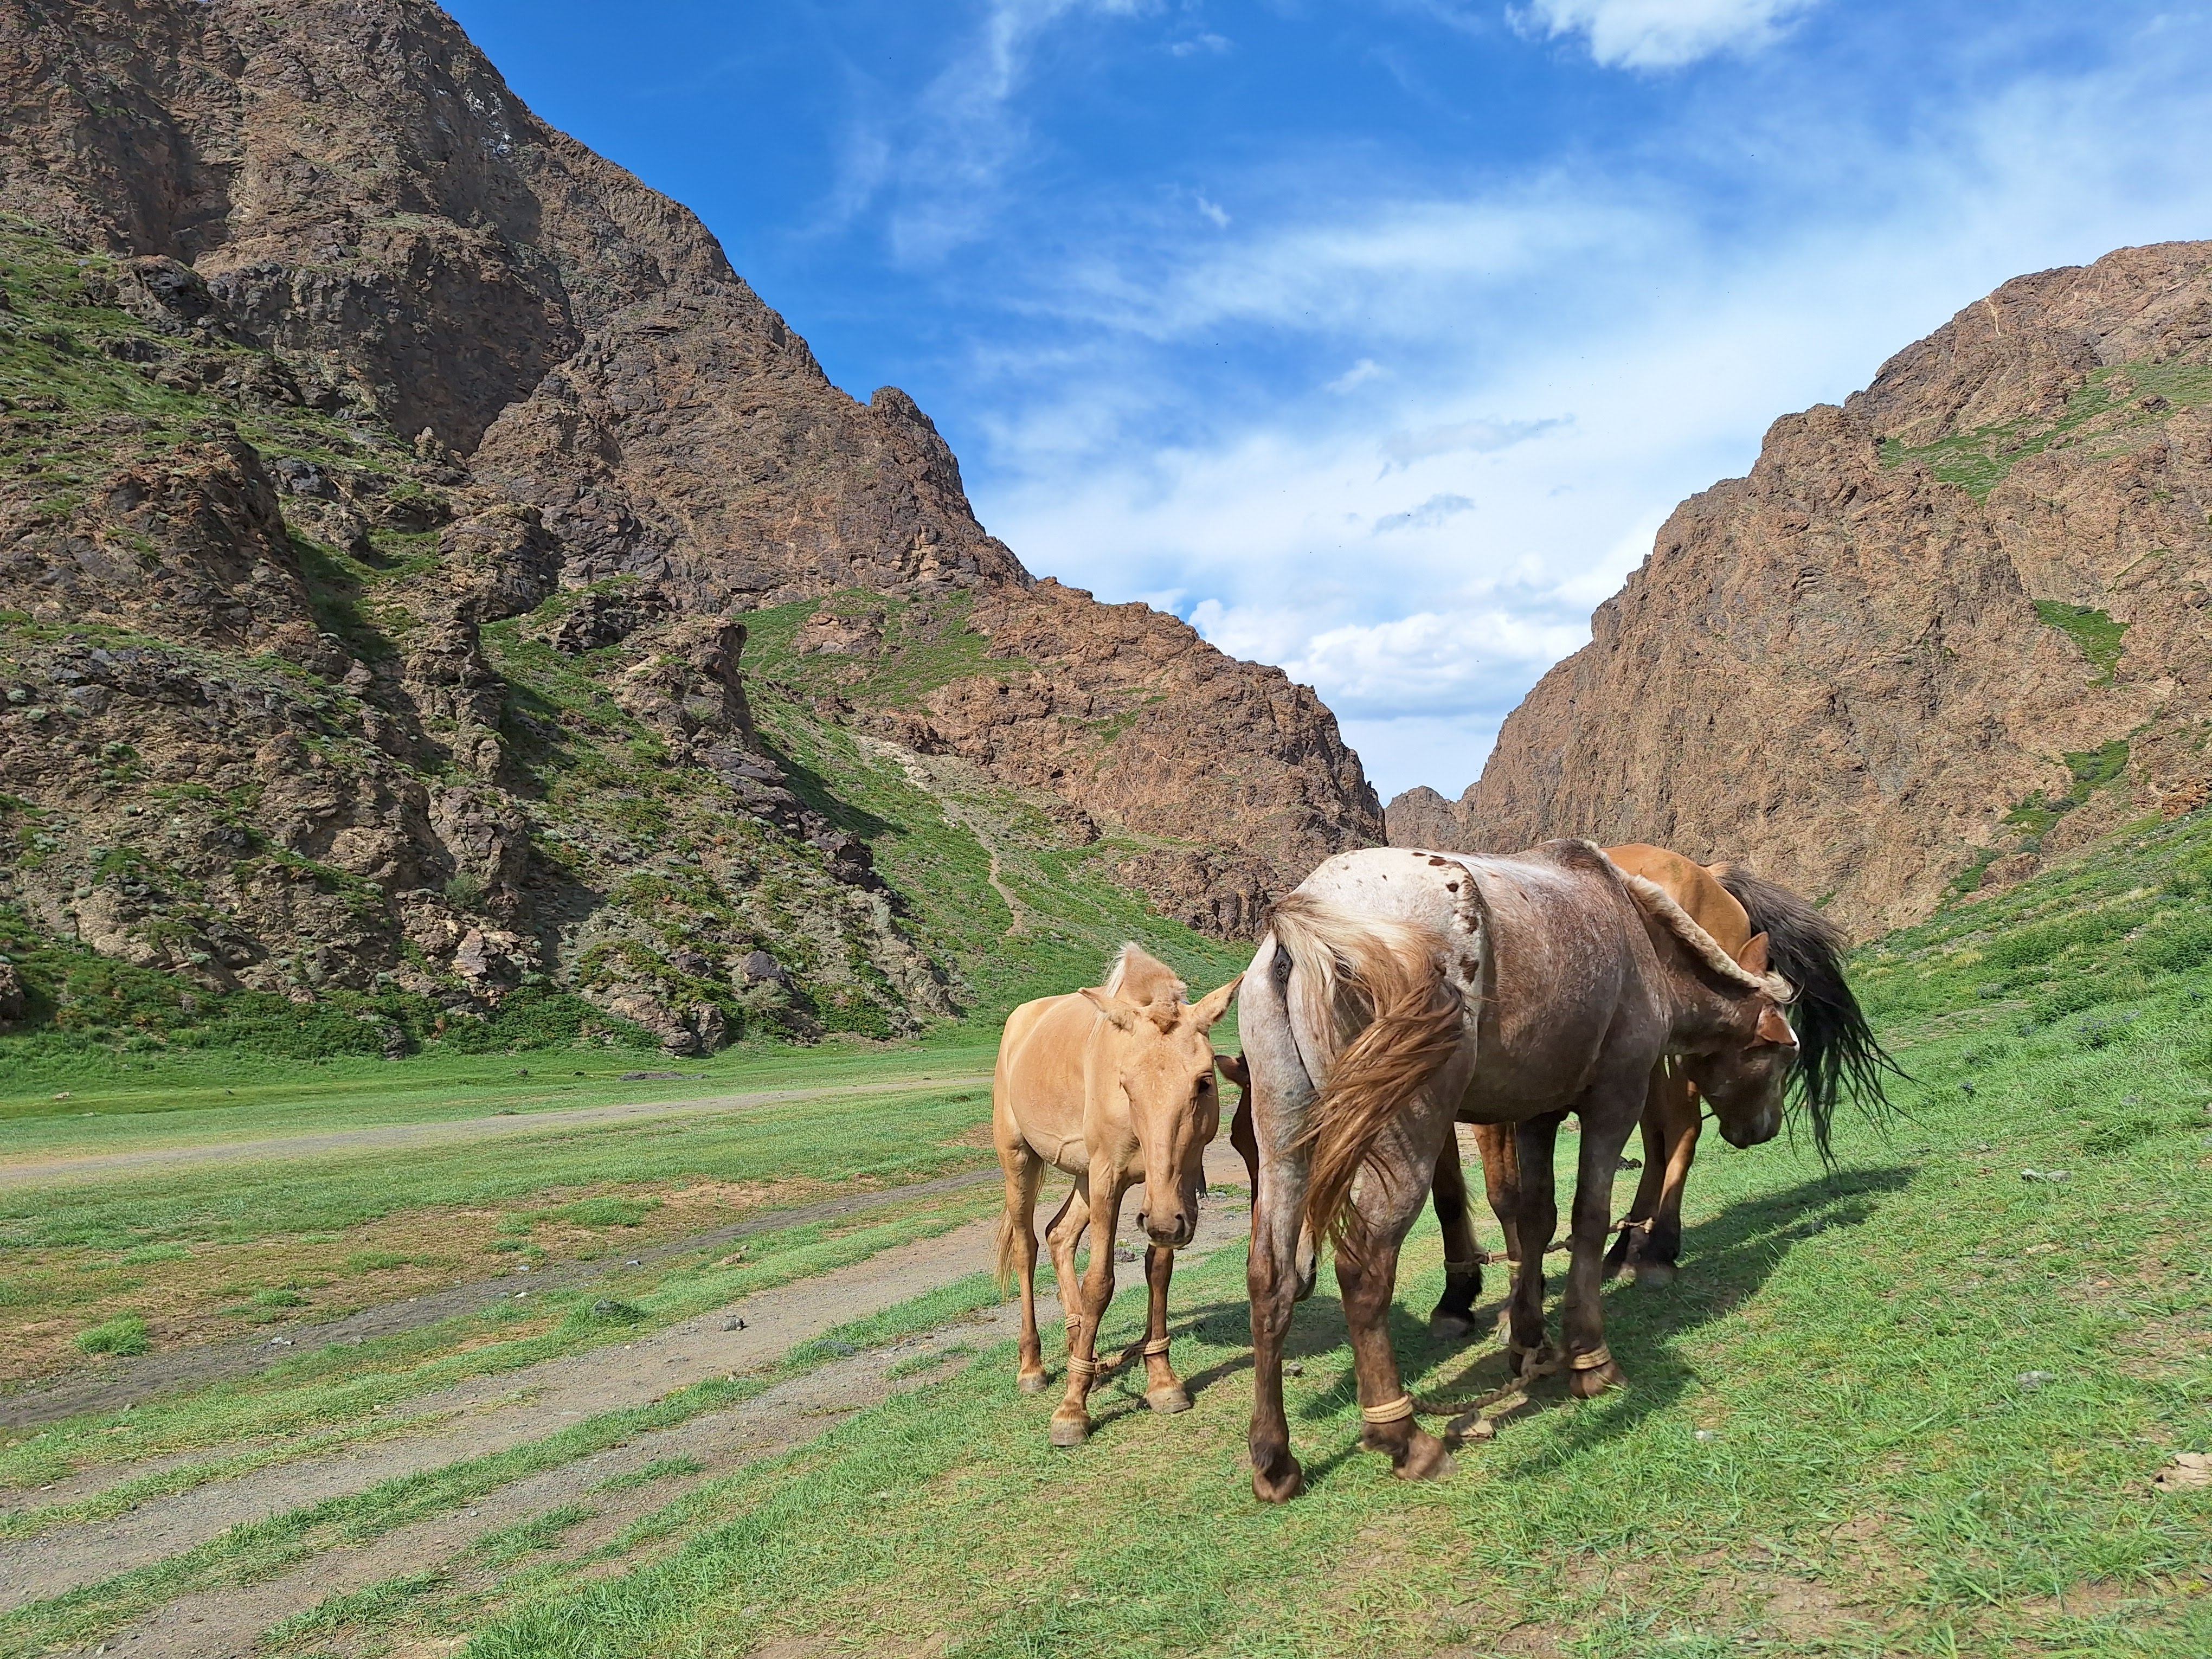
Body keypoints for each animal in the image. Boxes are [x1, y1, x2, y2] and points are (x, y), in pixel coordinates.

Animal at [991, 947, 1238, 1451]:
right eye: (1126, 1084)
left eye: (1204, 1082)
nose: (1162, 1222)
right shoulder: (1110, 1179)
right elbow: (1099, 1283)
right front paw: (1072, 1409)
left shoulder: (1173, 1191)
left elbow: (1158, 1271)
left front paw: (1162, 1382)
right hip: (1020, 1161)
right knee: (1027, 1247)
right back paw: (1034, 1367)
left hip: (1084, 1178)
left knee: (1059, 1235)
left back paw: (1078, 1344)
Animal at [1238, 845, 1805, 1504]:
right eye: (1784, 1056)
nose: (1762, 1129)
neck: (1633, 930)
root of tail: (1307, 916)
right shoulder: (1615, 1099)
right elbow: (1588, 1218)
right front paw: (1588, 1358)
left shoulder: (1537, 1114)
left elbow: (1536, 1220)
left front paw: (1530, 1342)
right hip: (1405, 1136)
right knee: (1364, 1270)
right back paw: (1404, 1437)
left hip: (1283, 1144)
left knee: (1271, 1280)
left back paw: (1274, 1460)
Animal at [1416, 845, 1902, 1336]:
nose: (1765, 1129)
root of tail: (1707, 872)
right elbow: (1451, 1195)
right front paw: (1458, 1298)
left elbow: (1505, 1197)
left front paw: (1516, 1301)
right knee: (1657, 1142)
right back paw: (1628, 1246)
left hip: (1671, 1056)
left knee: (1682, 1131)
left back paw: (1659, 1251)